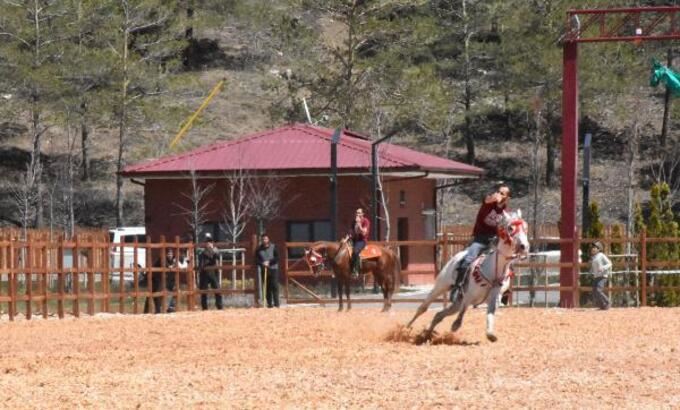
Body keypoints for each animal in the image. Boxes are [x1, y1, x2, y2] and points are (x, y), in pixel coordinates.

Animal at [406, 210, 528, 342]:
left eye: (526, 227)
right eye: (510, 228)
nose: (524, 246)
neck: (493, 269)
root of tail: (456, 257)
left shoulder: (495, 298)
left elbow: (490, 315)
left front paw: (491, 334)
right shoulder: (468, 295)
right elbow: (462, 314)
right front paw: (455, 326)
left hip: (457, 302)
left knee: (439, 315)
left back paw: (426, 333)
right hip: (441, 286)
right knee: (423, 307)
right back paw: (406, 328)